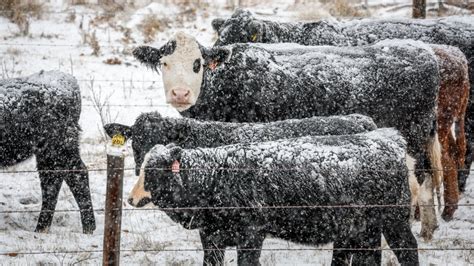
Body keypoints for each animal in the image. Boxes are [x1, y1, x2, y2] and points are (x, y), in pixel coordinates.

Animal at [133, 32, 440, 240]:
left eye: (197, 63)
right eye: (164, 63)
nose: (180, 93)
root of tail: (421, 50)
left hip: (414, 135)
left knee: (420, 177)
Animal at [143, 128, 418, 264]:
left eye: (155, 171)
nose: (140, 195)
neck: (216, 174)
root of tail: (390, 139)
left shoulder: (251, 234)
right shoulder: (212, 236)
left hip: (394, 220)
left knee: (407, 249)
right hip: (364, 228)